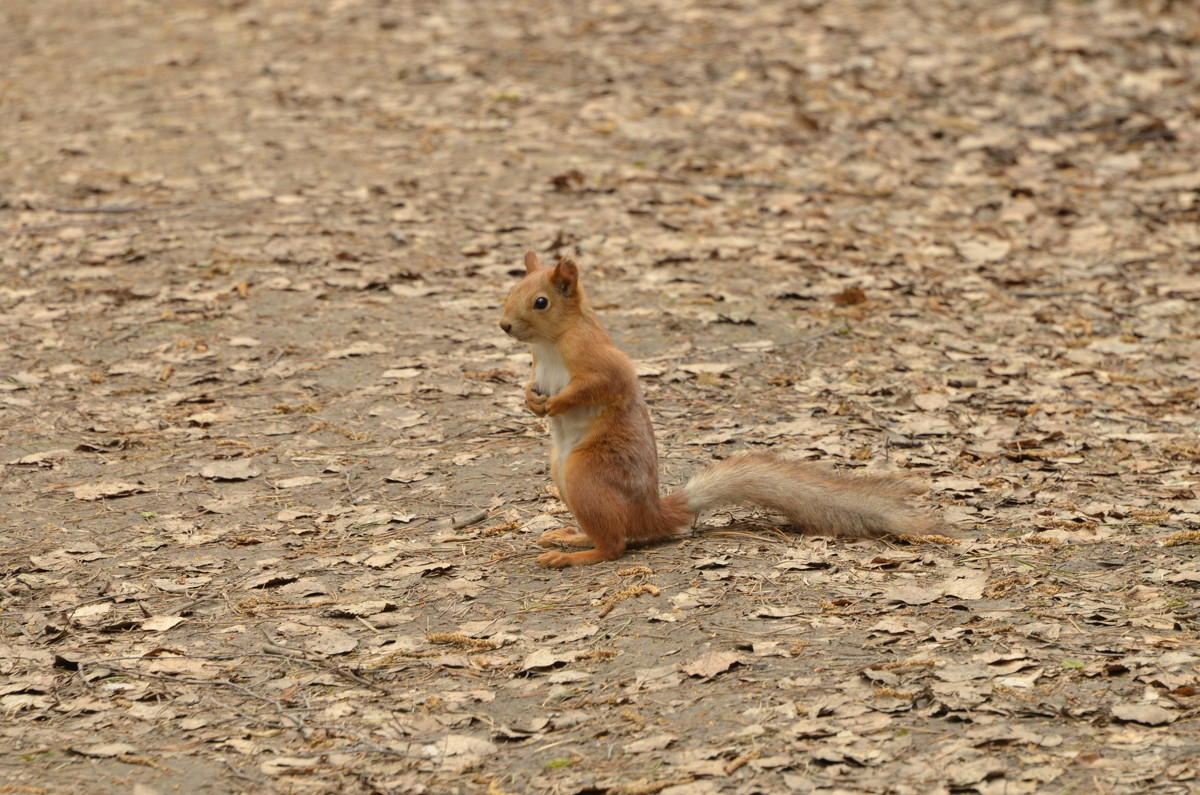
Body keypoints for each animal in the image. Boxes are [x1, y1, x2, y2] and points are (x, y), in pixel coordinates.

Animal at [496, 252, 936, 569]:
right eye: (512, 289)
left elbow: (600, 385)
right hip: (563, 473)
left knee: (616, 545)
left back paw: (571, 556)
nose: (503, 326)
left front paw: (555, 403)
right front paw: (529, 399)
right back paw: (570, 537)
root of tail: (650, 515)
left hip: (585, 475)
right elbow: (529, 385)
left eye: (541, 302)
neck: (551, 344)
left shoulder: (600, 360)